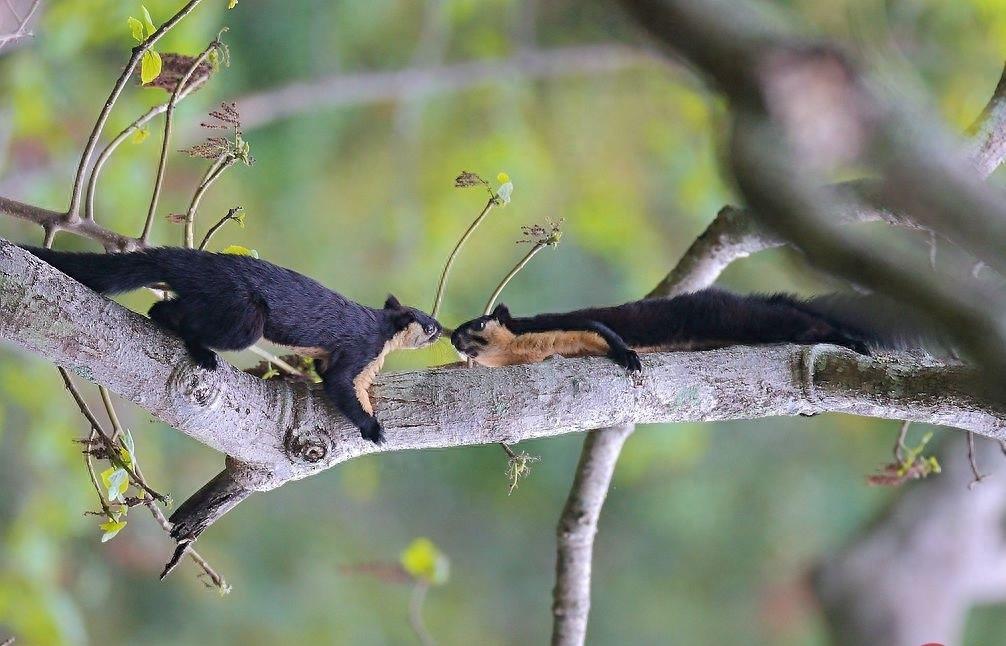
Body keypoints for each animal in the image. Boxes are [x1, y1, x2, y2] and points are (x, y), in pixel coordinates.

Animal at [21, 246, 440, 442]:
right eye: (431, 326)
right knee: (179, 318)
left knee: (163, 306)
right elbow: (339, 384)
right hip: (244, 317)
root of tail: (209, 264)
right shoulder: (358, 349)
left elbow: (327, 375)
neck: (381, 339)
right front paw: (373, 428)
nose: (446, 329)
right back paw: (203, 355)